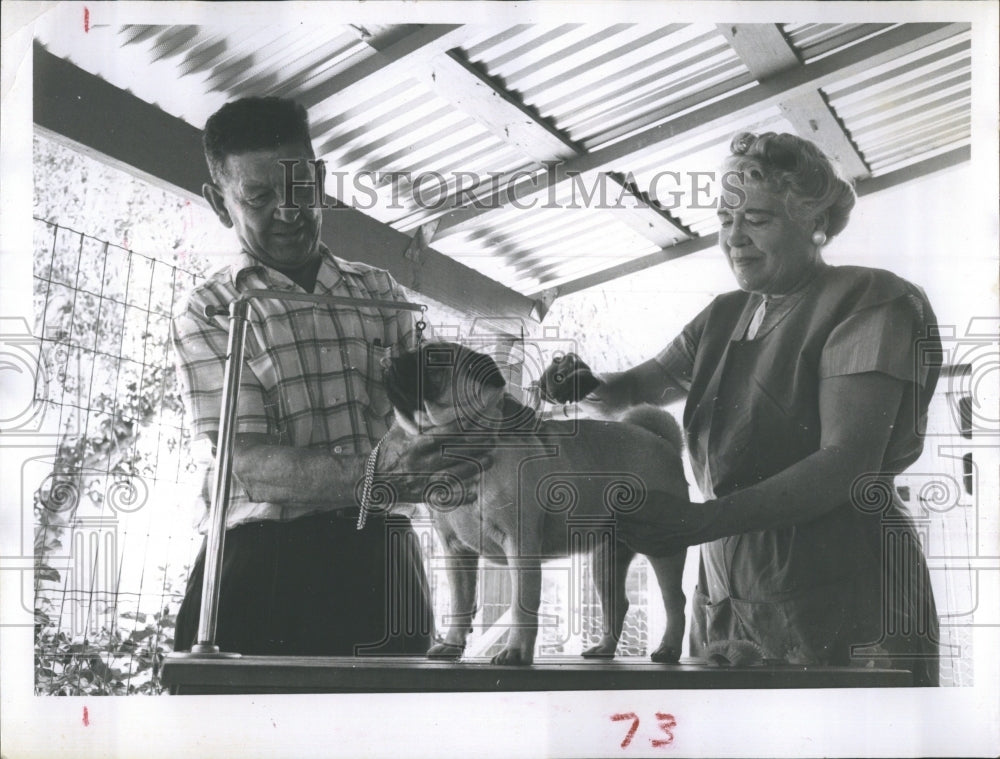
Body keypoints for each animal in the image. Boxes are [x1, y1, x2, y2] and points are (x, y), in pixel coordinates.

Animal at [376, 342, 688, 664]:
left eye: (434, 360)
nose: (394, 358)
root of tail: (663, 442)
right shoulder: (457, 552)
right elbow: (460, 603)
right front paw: (451, 645)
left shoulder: (520, 545)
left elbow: (521, 606)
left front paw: (515, 652)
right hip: (606, 558)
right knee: (617, 603)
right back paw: (603, 649)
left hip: (663, 545)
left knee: (675, 601)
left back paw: (668, 648)